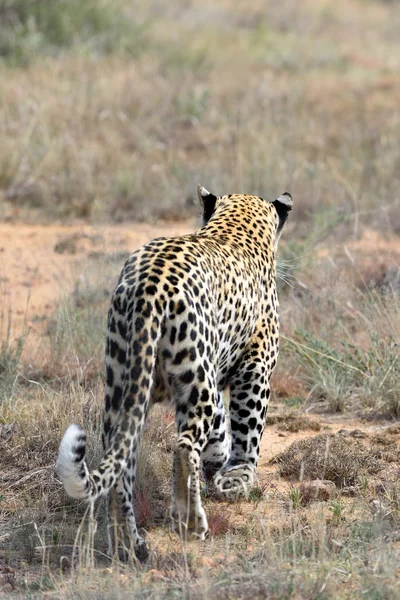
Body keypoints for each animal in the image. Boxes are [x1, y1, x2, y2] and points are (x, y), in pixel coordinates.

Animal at [56, 184, 292, 564]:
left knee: (121, 465)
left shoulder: (212, 368)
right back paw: (191, 524)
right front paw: (238, 476)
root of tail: (148, 288)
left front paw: (218, 462)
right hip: (195, 384)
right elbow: (247, 426)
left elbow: (221, 427)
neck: (235, 225)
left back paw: (128, 546)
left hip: (125, 387)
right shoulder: (254, 366)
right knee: (182, 446)